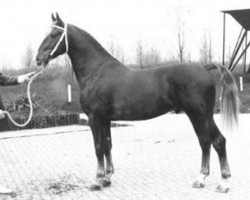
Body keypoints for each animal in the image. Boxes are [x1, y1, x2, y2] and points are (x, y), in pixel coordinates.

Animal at [35, 13, 238, 193]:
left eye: (54, 34)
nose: (38, 58)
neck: (97, 71)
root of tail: (204, 67)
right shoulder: (105, 120)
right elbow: (107, 145)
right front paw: (107, 178)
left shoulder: (95, 118)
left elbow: (98, 148)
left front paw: (97, 180)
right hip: (196, 116)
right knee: (205, 142)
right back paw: (200, 179)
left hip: (201, 115)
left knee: (218, 141)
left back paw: (223, 183)